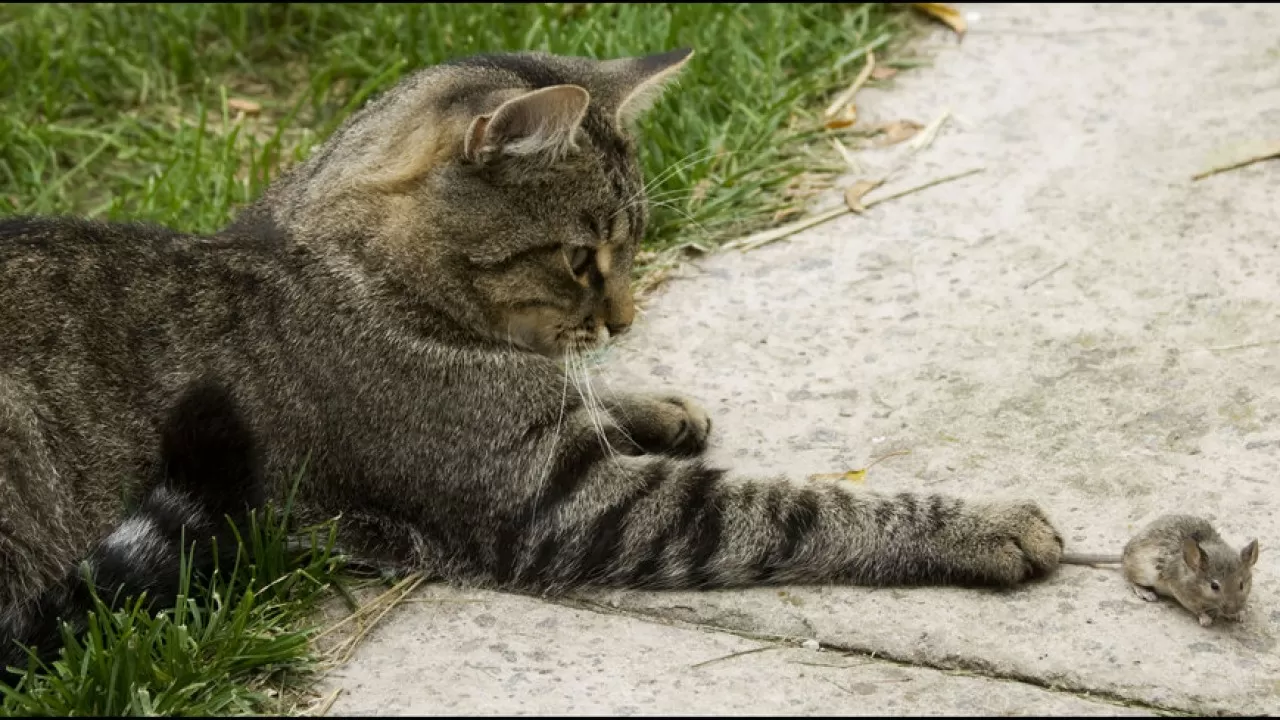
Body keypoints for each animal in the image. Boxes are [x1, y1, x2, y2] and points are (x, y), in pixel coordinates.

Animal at [0, 49, 1059, 671]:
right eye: (584, 257)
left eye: (638, 245)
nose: (627, 317)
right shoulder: (562, 504)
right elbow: (795, 508)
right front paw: (985, 526)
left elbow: (586, 394)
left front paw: (650, 403)